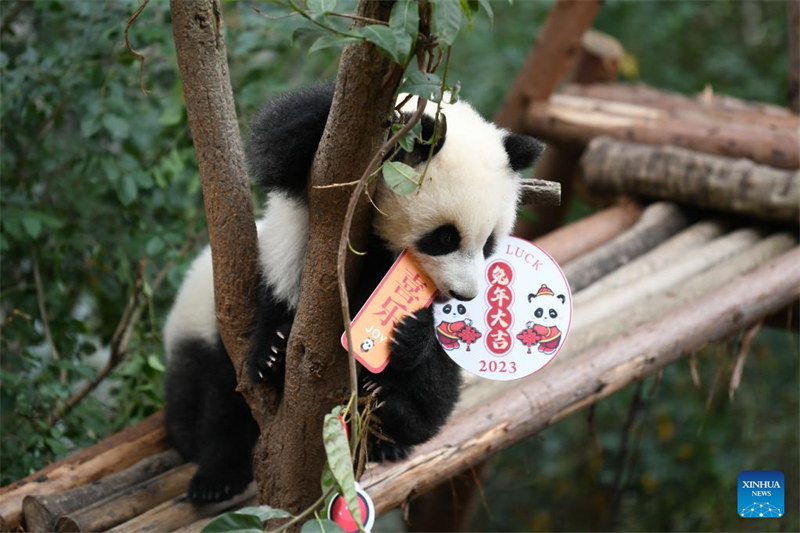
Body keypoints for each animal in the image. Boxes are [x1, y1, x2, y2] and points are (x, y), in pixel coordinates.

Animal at [164, 83, 545, 502]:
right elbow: (281, 138)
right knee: (221, 402)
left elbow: (430, 350)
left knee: (436, 385)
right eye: (445, 237)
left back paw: (393, 415)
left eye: (489, 243)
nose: (463, 295)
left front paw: (410, 333)